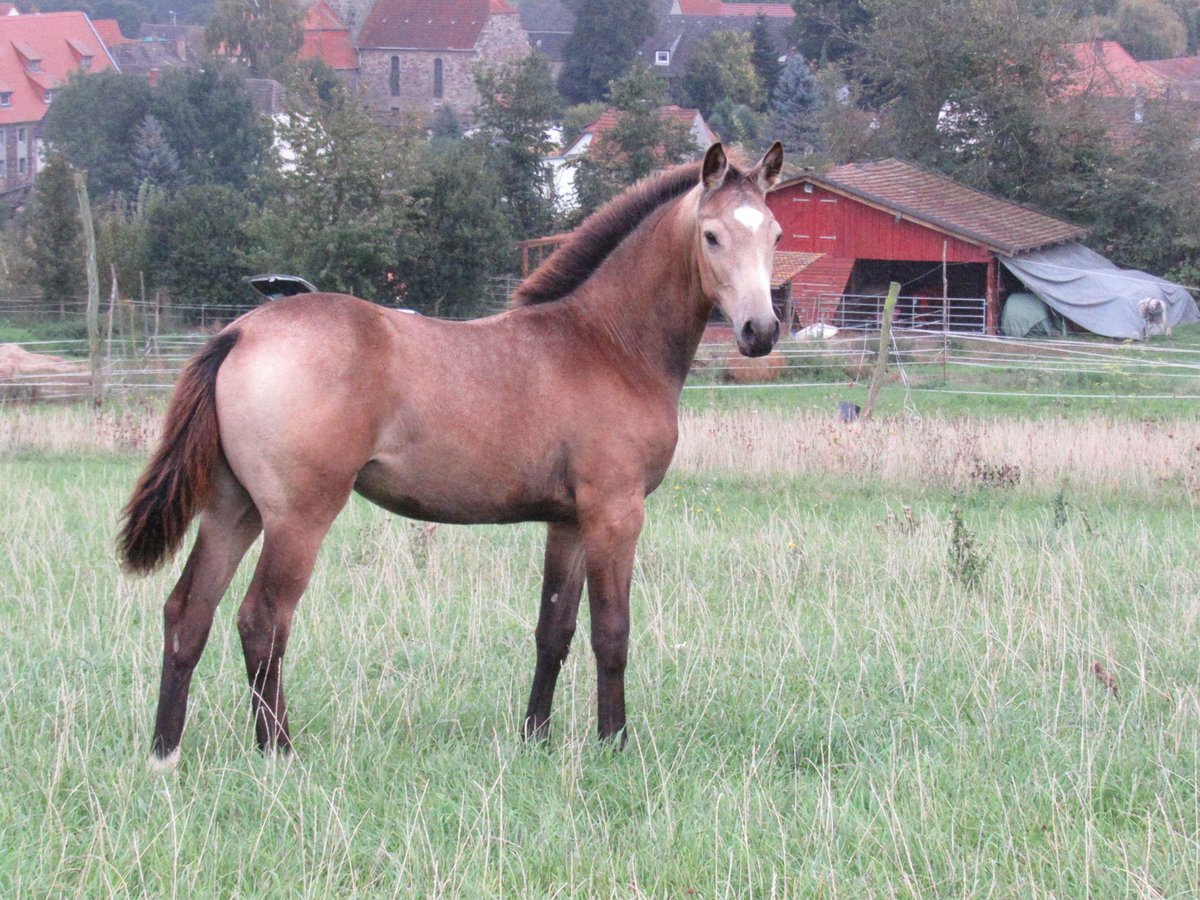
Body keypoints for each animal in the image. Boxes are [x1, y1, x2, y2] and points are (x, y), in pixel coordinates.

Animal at [117, 141, 782, 768]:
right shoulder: (614, 513)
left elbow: (554, 631)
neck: (608, 342)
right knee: (262, 619)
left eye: (774, 233)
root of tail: (242, 331)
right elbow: (611, 632)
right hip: (296, 517)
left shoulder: (567, 522)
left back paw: (163, 752)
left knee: (188, 613)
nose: (761, 331)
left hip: (234, 509)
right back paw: (278, 749)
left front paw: (535, 736)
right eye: (712, 234)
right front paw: (614, 742)